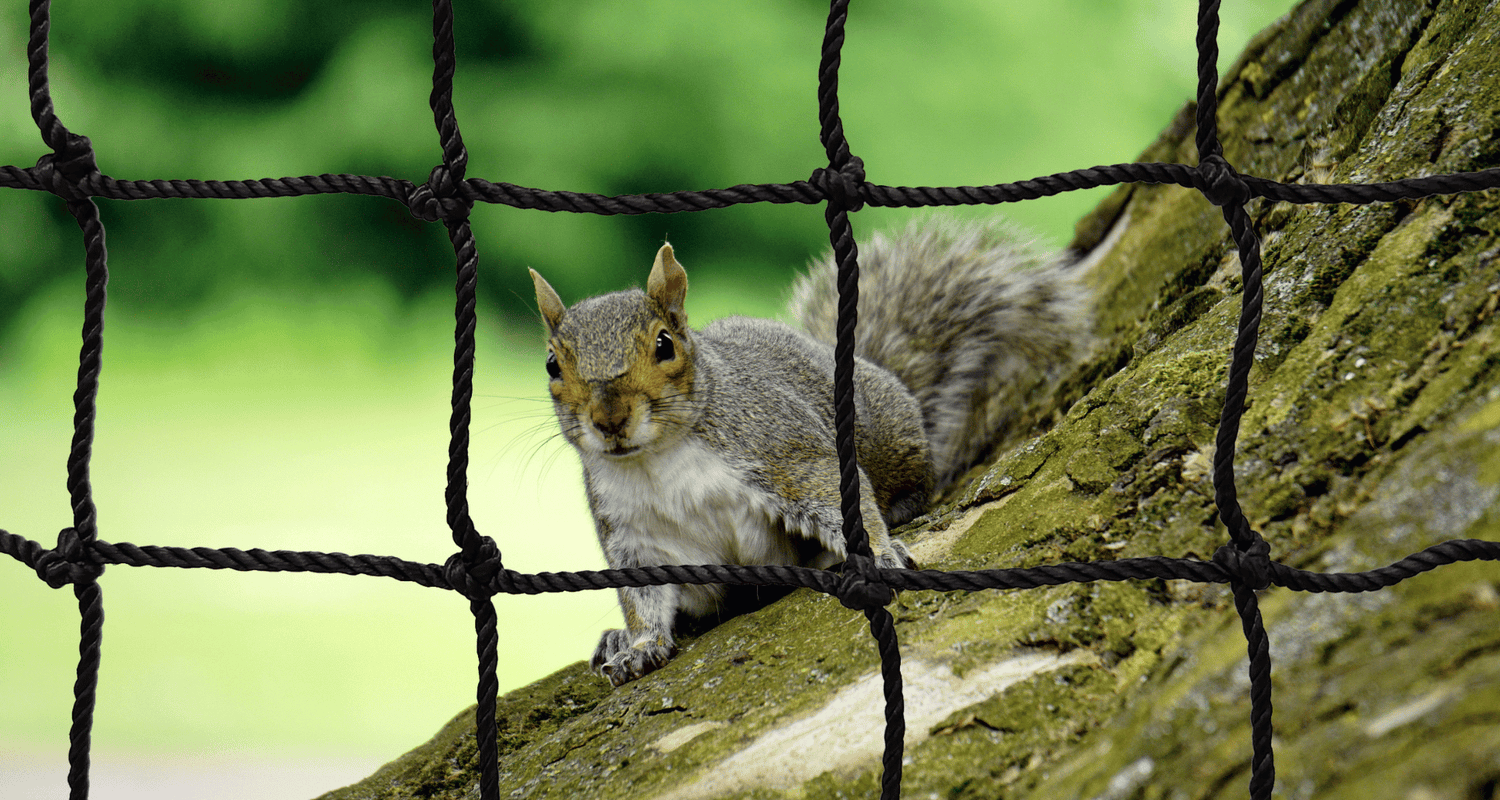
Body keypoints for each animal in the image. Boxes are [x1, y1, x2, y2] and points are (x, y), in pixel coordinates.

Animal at [528, 214, 1092, 684]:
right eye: (552, 364)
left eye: (665, 344)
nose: (609, 420)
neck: (658, 460)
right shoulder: (632, 532)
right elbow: (642, 595)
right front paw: (639, 645)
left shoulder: (783, 449)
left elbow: (837, 498)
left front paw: (879, 555)